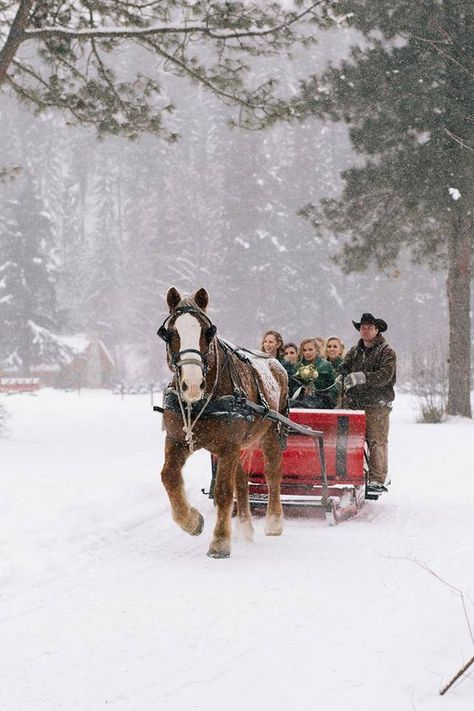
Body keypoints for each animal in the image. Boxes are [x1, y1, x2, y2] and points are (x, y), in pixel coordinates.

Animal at [158, 286, 288, 560]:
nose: (192, 384)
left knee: (272, 474)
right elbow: (169, 476)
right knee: (242, 480)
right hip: (240, 445)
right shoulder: (177, 439)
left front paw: (219, 542)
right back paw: (245, 528)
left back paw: (274, 522)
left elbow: (224, 491)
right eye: (170, 333)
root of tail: (275, 362)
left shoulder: (228, 446)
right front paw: (192, 521)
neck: (201, 402)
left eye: (207, 333)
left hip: (271, 432)